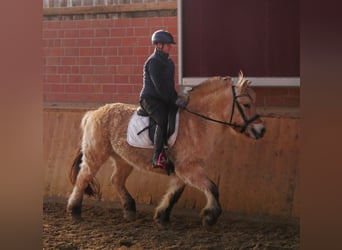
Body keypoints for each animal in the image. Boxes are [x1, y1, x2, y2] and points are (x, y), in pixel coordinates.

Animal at [66, 72, 264, 227]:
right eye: (246, 105)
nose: (261, 130)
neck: (197, 123)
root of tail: (94, 112)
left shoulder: (184, 171)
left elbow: (175, 193)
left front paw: (162, 215)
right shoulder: (188, 169)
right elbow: (213, 188)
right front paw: (210, 216)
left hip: (123, 158)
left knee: (116, 180)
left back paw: (129, 208)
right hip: (96, 154)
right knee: (84, 177)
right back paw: (74, 209)